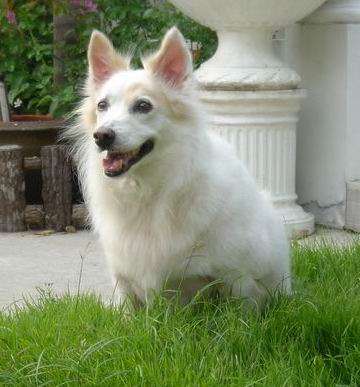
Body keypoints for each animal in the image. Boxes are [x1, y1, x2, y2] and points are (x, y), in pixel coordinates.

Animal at [66, 27, 292, 310]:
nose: (102, 136)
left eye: (143, 106)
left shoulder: (237, 276)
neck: (147, 191)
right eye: (102, 106)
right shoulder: (123, 280)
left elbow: (239, 311)